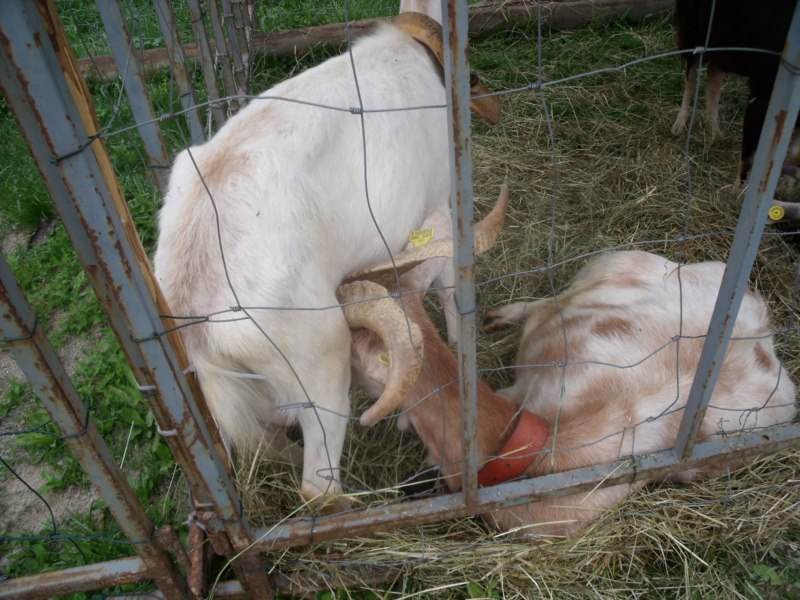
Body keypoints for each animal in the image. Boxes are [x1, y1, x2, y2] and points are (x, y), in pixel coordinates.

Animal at [150, 3, 494, 502]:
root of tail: (192, 299)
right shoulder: (440, 201)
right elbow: (449, 283)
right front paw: (457, 339)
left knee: (266, 442)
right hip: (318, 359)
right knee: (317, 483)